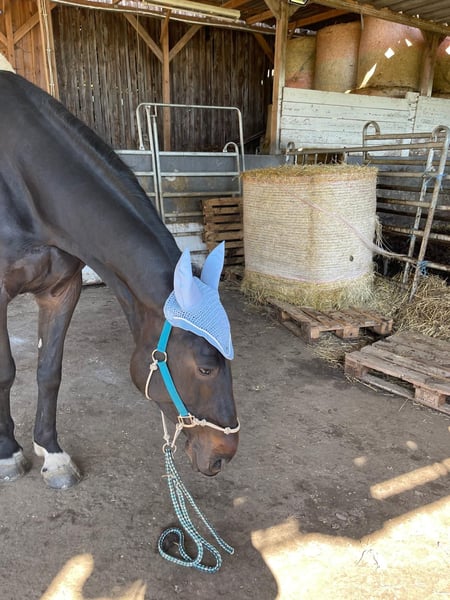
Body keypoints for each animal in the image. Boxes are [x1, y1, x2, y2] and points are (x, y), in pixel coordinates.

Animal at [0, 70, 239, 489]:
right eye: (205, 368)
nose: (224, 454)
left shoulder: (61, 291)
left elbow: (49, 371)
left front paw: (52, 454)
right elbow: (6, 372)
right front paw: (8, 452)